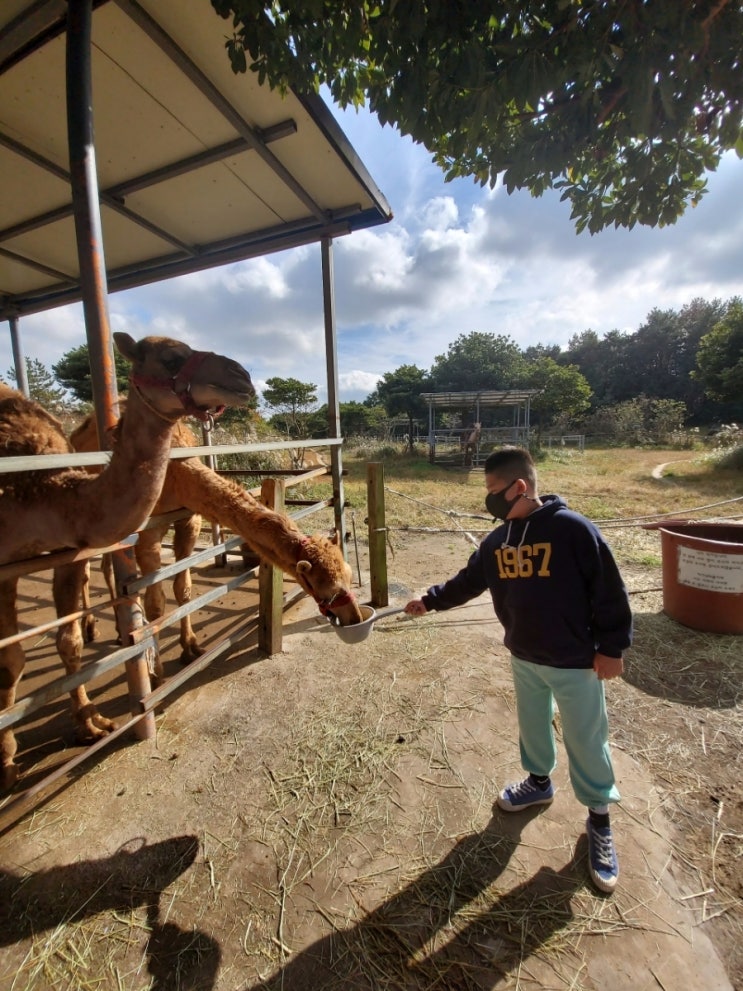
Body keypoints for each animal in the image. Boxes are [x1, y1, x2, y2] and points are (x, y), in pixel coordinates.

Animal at [71, 406, 368, 672]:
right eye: (328, 591)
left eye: (350, 574)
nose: (354, 617)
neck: (175, 470)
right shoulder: (148, 528)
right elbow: (155, 604)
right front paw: (156, 673)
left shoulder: (188, 519)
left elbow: (184, 589)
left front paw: (191, 648)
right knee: (87, 568)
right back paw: (98, 631)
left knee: (105, 566)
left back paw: (115, 630)